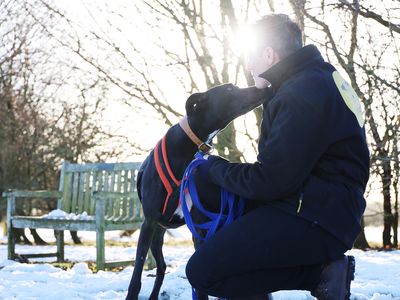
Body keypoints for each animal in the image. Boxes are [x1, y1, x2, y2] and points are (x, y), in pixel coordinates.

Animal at [126, 83, 268, 298]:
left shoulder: (201, 227)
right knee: (161, 267)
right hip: (157, 234)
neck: (188, 146)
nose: (263, 87)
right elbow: (136, 276)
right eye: (229, 90)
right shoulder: (149, 222)